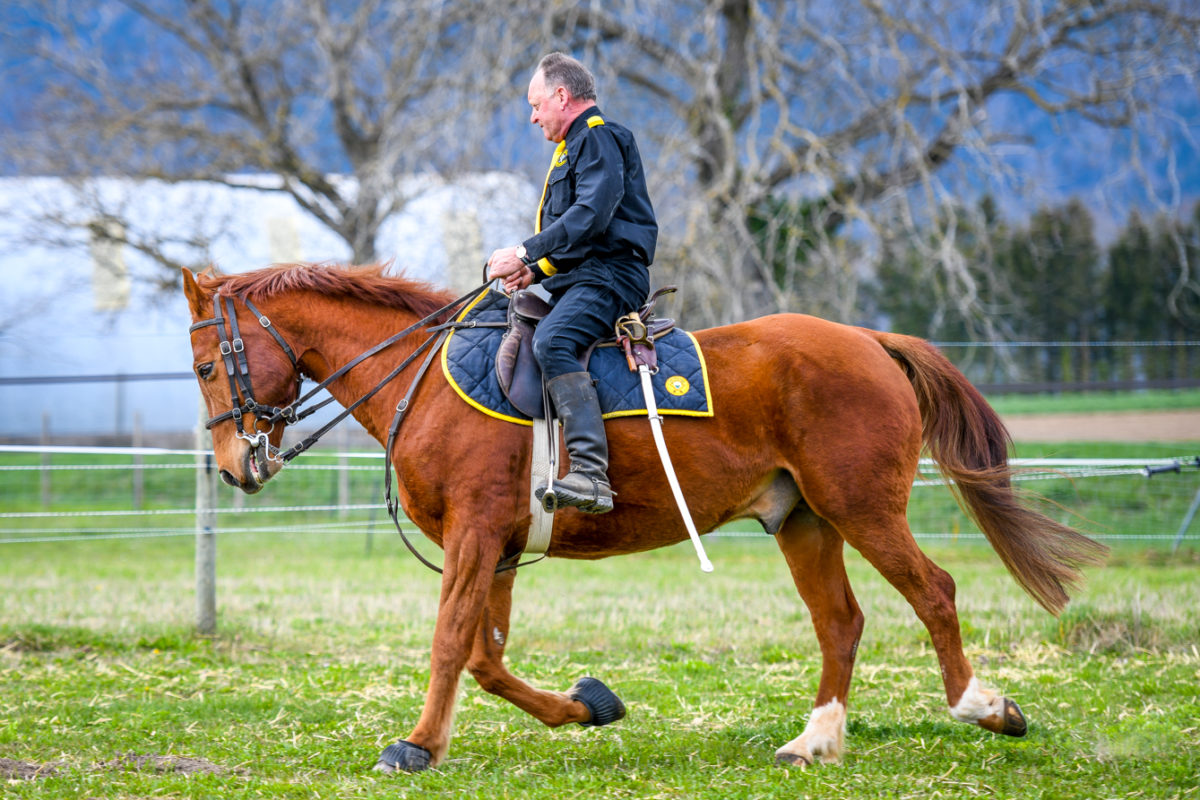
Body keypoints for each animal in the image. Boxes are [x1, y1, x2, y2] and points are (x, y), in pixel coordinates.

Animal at [180, 263, 1104, 777]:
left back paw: (984, 706)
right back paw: (814, 741)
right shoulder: (498, 548)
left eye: (204, 365)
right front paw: (587, 704)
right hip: (804, 521)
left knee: (934, 592)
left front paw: (416, 745)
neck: (428, 377)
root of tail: (868, 340)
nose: (232, 465)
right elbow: (486, 659)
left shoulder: (477, 536)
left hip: (862, 508)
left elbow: (451, 647)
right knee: (841, 622)